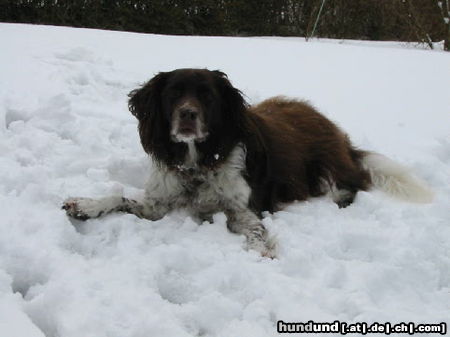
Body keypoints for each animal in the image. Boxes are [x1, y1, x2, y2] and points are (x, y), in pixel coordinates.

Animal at [62, 69, 432, 258]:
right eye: (173, 93)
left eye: (207, 95)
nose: (187, 115)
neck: (198, 161)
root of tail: (335, 130)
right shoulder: (158, 204)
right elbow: (119, 197)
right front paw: (85, 205)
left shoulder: (241, 208)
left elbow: (253, 230)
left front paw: (262, 252)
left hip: (326, 167)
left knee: (352, 184)